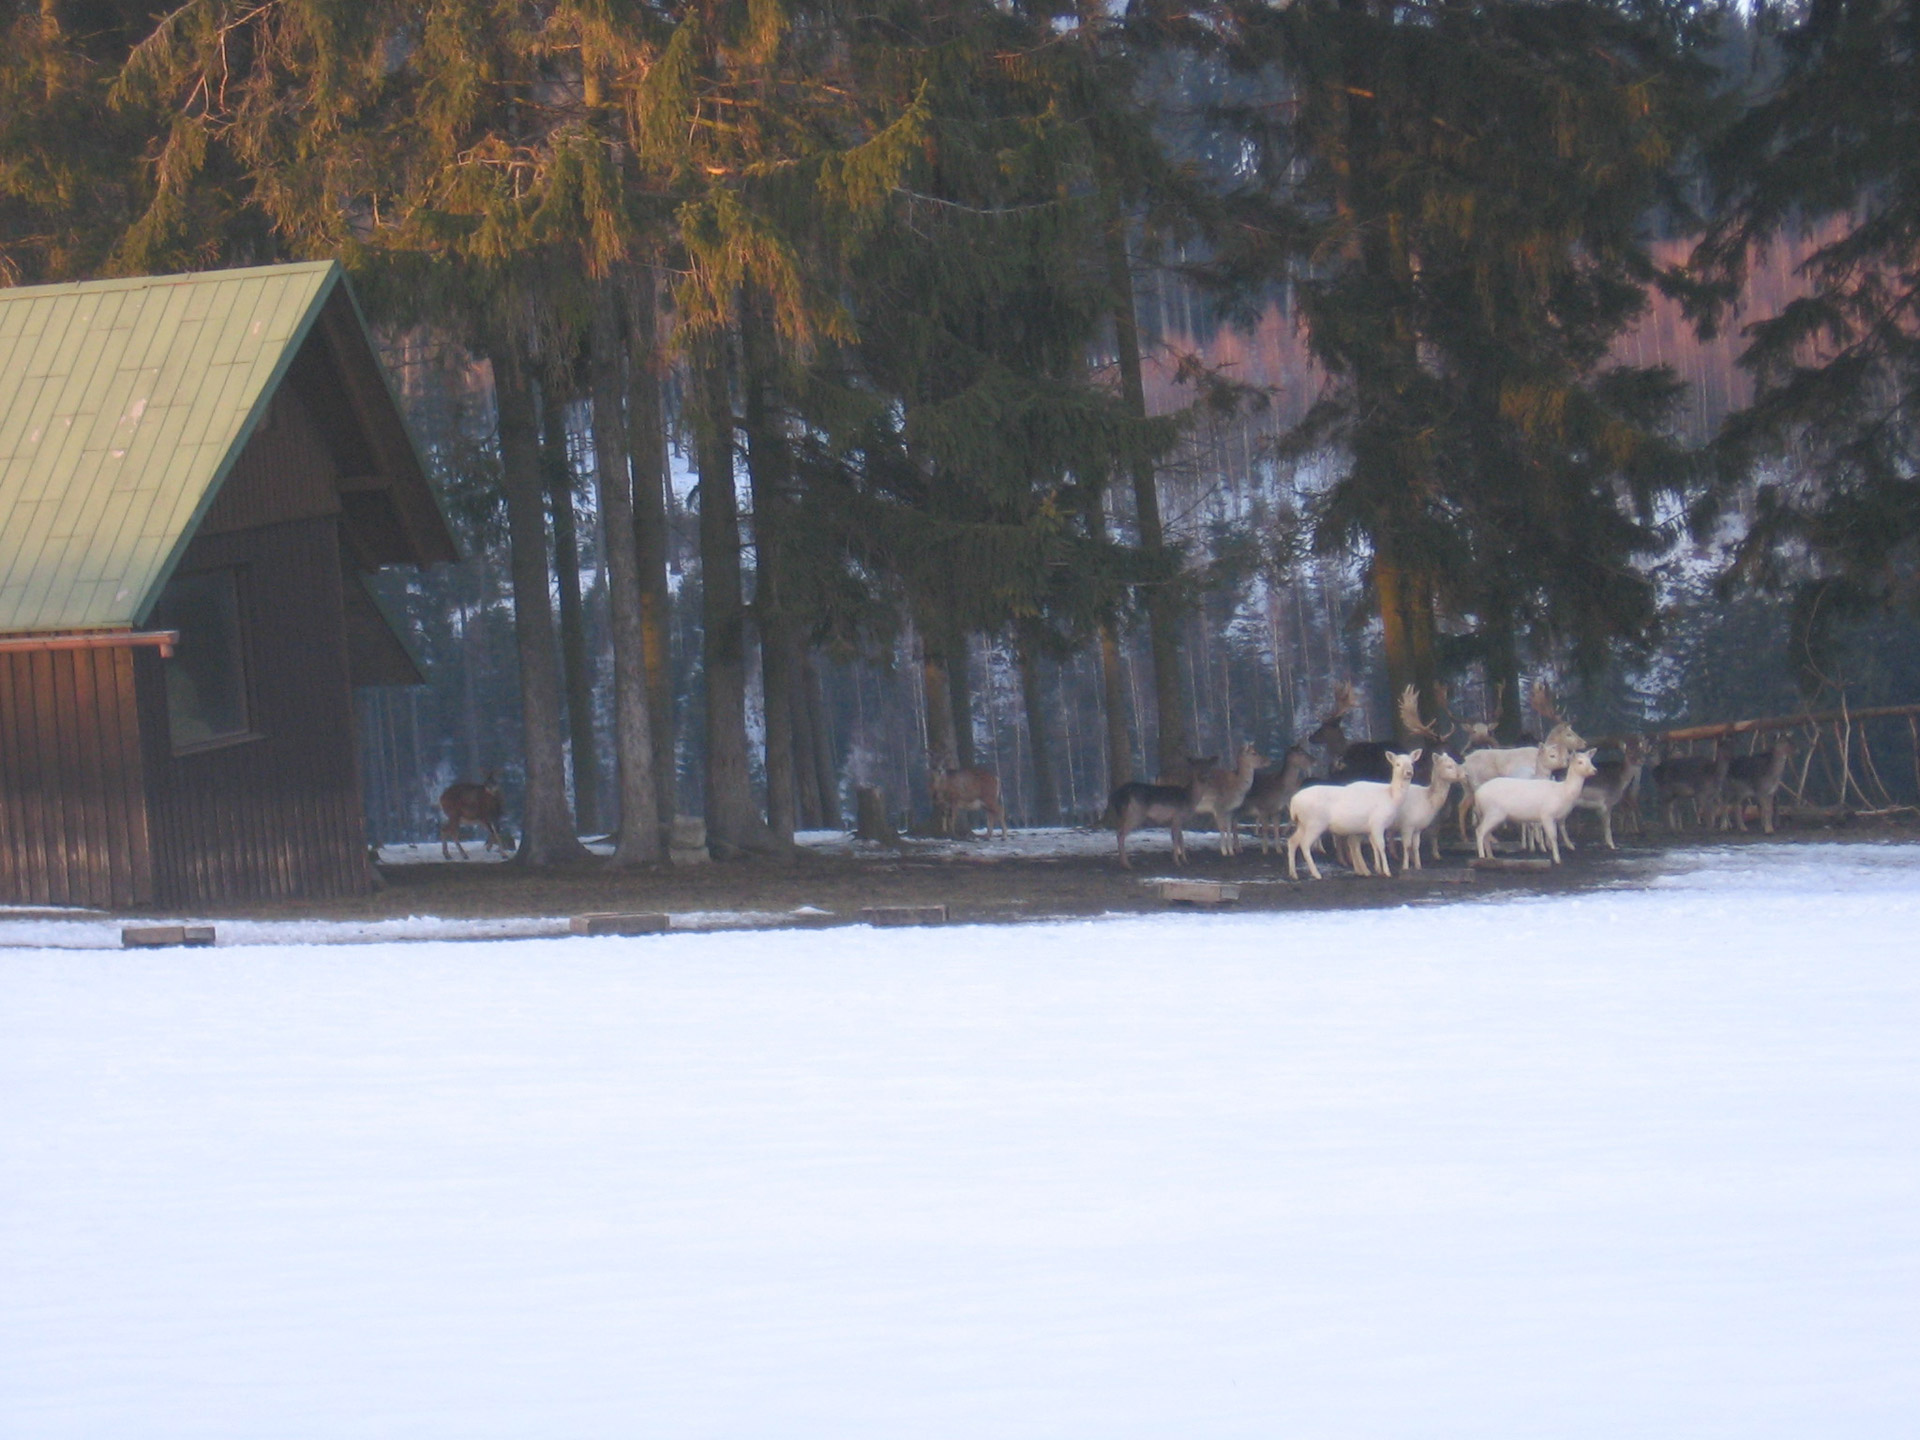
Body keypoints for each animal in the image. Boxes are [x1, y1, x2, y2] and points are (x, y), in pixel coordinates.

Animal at [1282, 748, 1420, 887]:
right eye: (1397, 764)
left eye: (1412, 763)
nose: (1409, 772)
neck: (1392, 798)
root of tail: (1294, 802)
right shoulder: (1378, 822)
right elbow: (1381, 846)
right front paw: (1387, 872)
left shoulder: (1370, 828)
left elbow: (1374, 846)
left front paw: (1377, 869)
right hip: (1315, 823)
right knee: (1304, 844)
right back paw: (1317, 874)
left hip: (1302, 823)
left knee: (1292, 841)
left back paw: (1293, 874)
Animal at [1466, 748, 1605, 864]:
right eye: (1580, 762)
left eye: (1590, 760)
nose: (1595, 770)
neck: (1563, 792)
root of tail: (1477, 795)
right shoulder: (1547, 814)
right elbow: (1553, 836)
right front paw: (1557, 859)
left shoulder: (1556, 817)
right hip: (1493, 812)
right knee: (1480, 831)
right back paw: (1482, 856)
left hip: (1490, 814)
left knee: (1486, 833)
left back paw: (1491, 856)